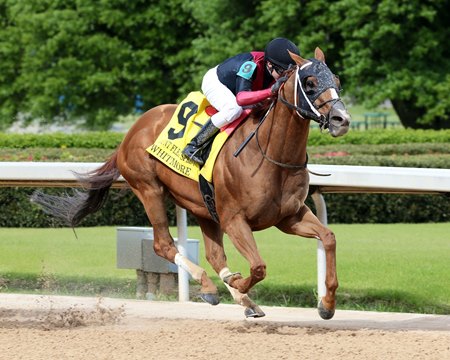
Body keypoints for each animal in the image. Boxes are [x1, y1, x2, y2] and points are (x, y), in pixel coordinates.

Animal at [34, 48, 352, 320]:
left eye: (336, 80)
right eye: (309, 83)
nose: (342, 119)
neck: (270, 154)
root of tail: (133, 129)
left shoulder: (289, 216)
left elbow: (329, 238)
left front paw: (327, 304)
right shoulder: (235, 219)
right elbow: (258, 267)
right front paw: (239, 283)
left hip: (203, 206)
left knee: (214, 254)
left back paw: (242, 300)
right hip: (148, 188)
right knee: (163, 244)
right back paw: (211, 287)